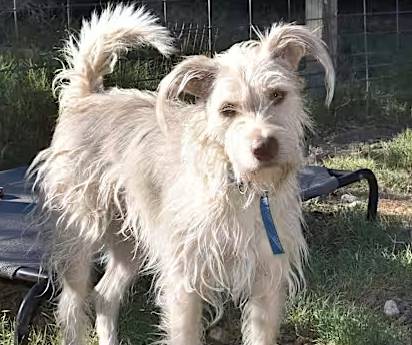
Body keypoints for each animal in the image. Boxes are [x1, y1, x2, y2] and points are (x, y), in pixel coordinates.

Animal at [30, 3, 334, 344]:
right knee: (71, 308)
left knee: (104, 294)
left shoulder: (266, 282)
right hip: (78, 241)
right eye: (228, 110)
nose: (264, 147)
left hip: (130, 241)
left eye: (278, 95)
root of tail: (87, 96)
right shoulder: (184, 284)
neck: (239, 190)